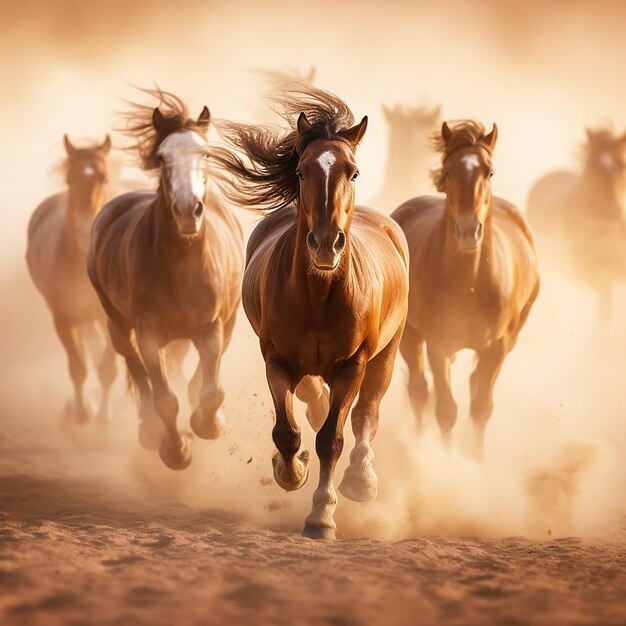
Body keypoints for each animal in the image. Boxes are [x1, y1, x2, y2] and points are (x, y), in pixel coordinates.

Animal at [86, 89, 243, 468]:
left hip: (229, 320)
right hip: (117, 324)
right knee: (133, 365)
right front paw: (175, 450)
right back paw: (147, 426)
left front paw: (208, 423)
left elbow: (209, 389)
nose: (188, 210)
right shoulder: (149, 337)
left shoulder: (211, 328)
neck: (181, 264)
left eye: (206, 154)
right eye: (162, 157)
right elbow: (164, 399)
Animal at [213, 85, 410, 540]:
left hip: (387, 353)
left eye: (353, 172)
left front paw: (321, 514)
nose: (325, 243)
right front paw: (292, 472)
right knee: (312, 400)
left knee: (367, 414)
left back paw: (361, 480)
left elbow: (331, 439)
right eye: (302, 172)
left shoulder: (354, 364)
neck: (320, 296)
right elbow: (286, 432)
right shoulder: (276, 359)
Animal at [392, 120, 540, 458]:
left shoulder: (497, 347)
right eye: (449, 172)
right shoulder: (438, 345)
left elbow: (481, 406)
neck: (469, 282)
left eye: (490, 172)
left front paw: (475, 459)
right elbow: (446, 409)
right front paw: (447, 461)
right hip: (410, 336)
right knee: (419, 391)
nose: (469, 231)